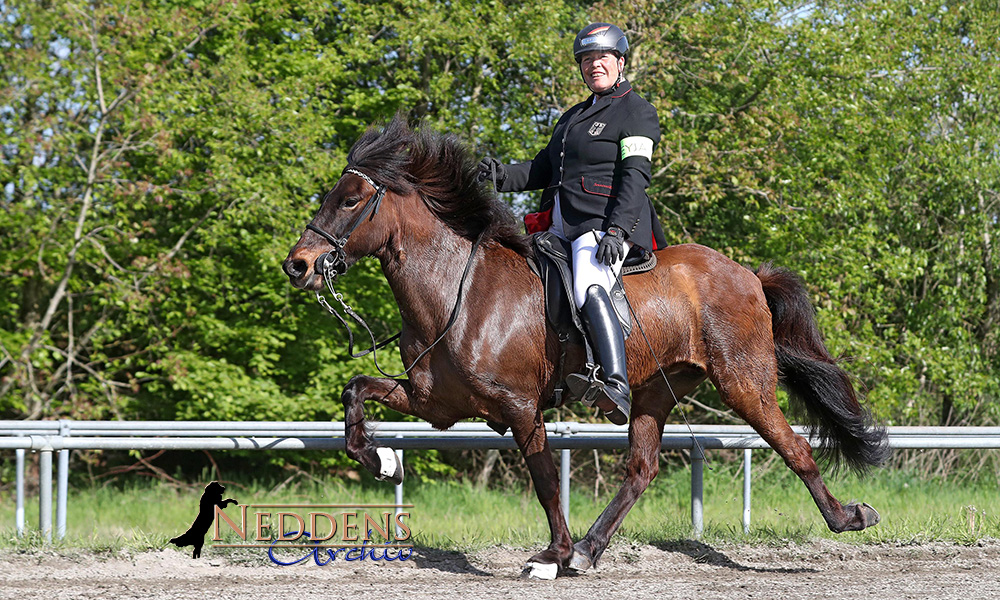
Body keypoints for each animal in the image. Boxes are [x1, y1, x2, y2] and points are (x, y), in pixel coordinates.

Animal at [280, 116, 884, 576]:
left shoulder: (520, 407)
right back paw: (591, 549)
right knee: (641, 469)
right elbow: (354, 392)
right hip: (656, 390)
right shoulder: (436, 404)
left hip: (744, 383)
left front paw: (551, 554)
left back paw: (849, 518)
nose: (299, 265)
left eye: (351, 200)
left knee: (794, 445)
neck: (457, 289)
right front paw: (382, 460)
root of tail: (748, 274)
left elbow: (547, 479)